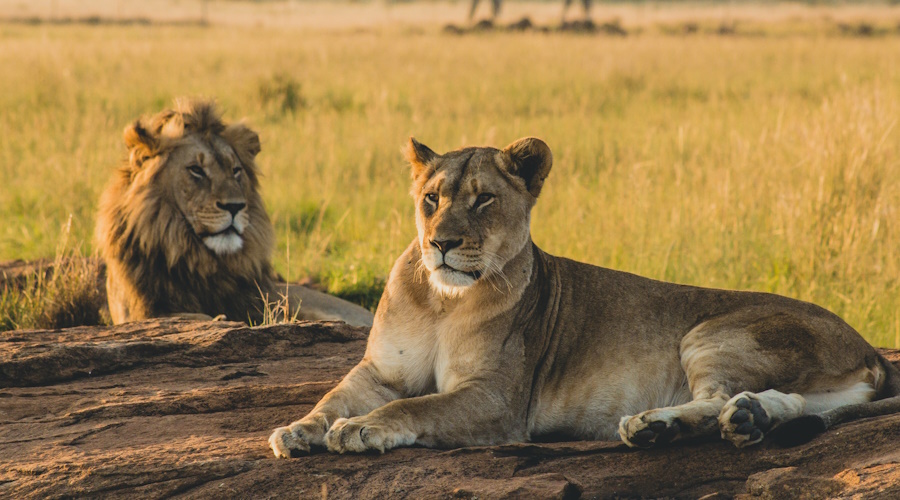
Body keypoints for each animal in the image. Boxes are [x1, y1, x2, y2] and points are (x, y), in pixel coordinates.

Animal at [99, 98, 376, 328]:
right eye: (196, 169)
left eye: (235, 170)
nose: (235, 206)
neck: (193, 257)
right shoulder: (139, 311)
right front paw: (217, 318)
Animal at [268, 138, 900, 458]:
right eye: (431, 199)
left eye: (483, 200)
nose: (441, 243)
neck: (443, 301)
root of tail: (870, 348)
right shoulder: (380, 370)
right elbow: (333, 396)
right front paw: (298, 430)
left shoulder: (496, 400)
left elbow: (413, 408)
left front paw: (359, 430)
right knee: (780, 402)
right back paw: (745, 418)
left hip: (711, 332)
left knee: (717, 397)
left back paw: (656, 425)